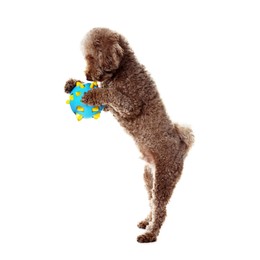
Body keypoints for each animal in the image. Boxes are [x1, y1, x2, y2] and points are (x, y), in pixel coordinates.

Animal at [64, 27, 195, 243]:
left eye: (91, 57)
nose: (88, 76)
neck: (123, 69)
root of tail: (182, 145)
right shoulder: (111, 108)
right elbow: (107, 97)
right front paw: (72, 83)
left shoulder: (130, 104)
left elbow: (110, 93)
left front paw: (91, 94)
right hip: (149, 177)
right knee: (152, 202)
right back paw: (147, 221)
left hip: (164, 178)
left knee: (160, 208)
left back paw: (150, 234)